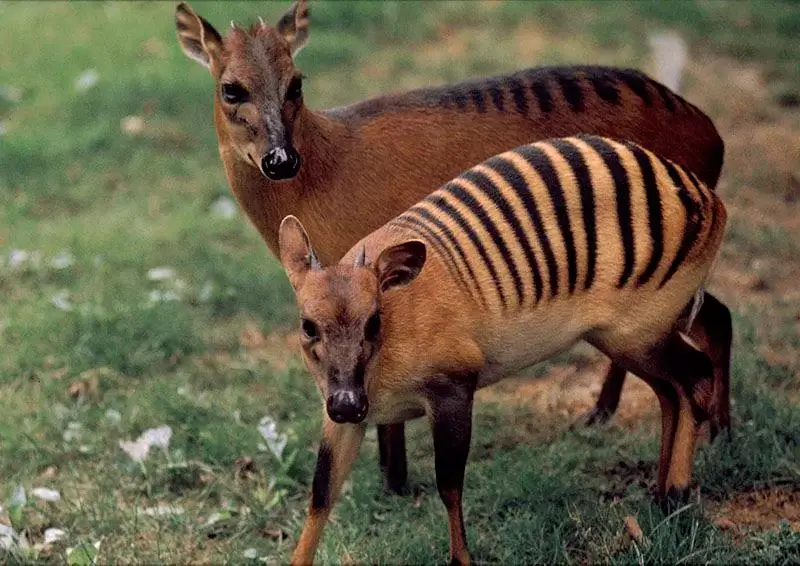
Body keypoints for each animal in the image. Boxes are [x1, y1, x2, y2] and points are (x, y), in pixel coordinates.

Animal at [173, 0, 732, 496]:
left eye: (296, 82)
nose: (280, 159)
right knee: (711, 318)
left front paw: (395, 484)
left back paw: (708, 434)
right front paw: (392, 481)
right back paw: (650, 420)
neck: (325, 173)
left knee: (706, 324)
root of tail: (713, 133)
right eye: (230, 89)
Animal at [282, 135, 732, 564]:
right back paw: (670, 484)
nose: (347, 403)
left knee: (694, 376)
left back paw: (677, 492)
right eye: (308, 327)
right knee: (682, 375)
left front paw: (462, 558)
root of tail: (710, 200)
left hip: (639, 328)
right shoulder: (343, 414)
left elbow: (449, 485)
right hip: (633, 331)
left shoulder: (454, 386)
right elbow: (321, 492)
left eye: (374, 322)